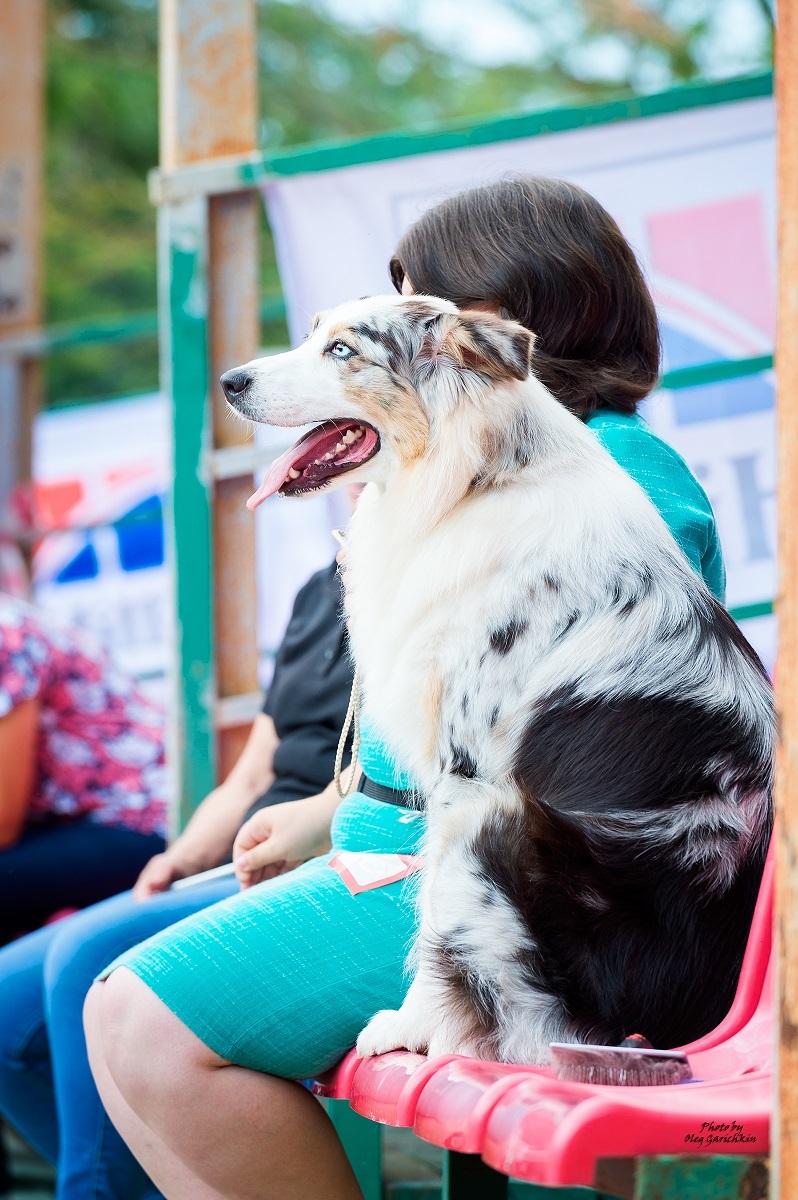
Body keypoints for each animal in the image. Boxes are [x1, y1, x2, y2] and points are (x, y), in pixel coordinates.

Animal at [219, 295, 772, 1065]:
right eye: (312, 336)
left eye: (342, 351)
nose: (229, 383)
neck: (472, 483)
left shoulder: (468, 777)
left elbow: (431, 919)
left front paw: (411, 1025)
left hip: (503, 832)